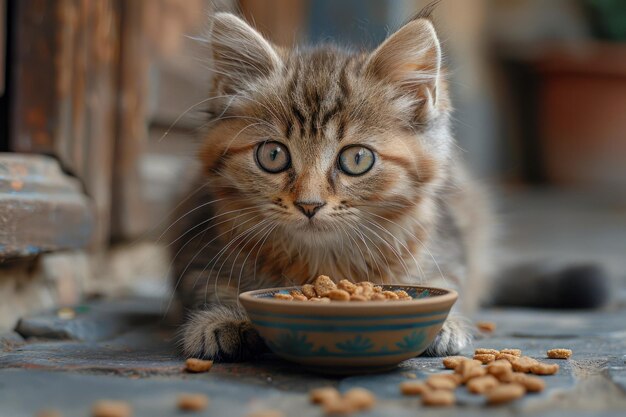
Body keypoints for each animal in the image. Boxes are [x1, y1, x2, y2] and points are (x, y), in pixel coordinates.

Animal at [169, 11, 488, 360]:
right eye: (272, 155)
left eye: (358, 158)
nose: (309, 205)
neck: (323, 260)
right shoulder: (195, 245)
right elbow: (209, 285)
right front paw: (223, 318)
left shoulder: (449, 244)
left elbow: (449, 279)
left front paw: (447, 324)